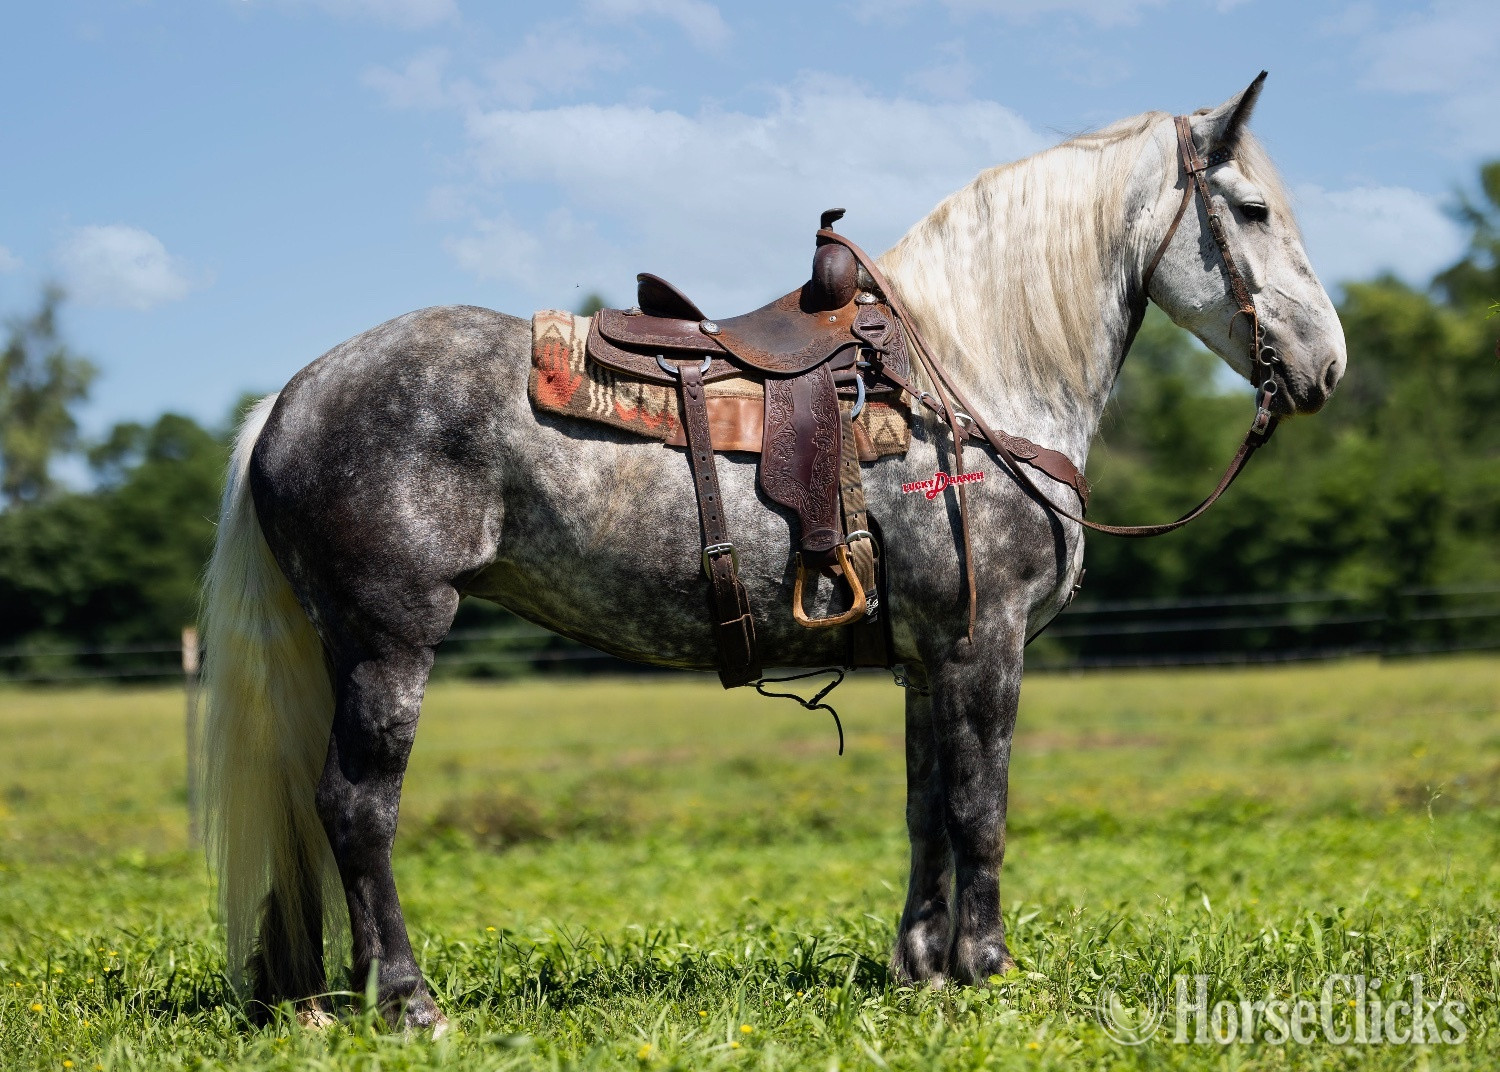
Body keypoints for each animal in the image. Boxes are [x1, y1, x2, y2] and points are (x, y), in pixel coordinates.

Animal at [199, 75, 1345, 1032]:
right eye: (1252, 211)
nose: (1328, 365)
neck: (969, 376)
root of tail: (292, 395)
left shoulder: (927, 655)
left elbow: (928, 806)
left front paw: (922, 970)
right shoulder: (986, 644)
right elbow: (982, 805)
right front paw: (985, 967)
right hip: (391, 641)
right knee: (358, 806)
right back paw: (408, 1000)